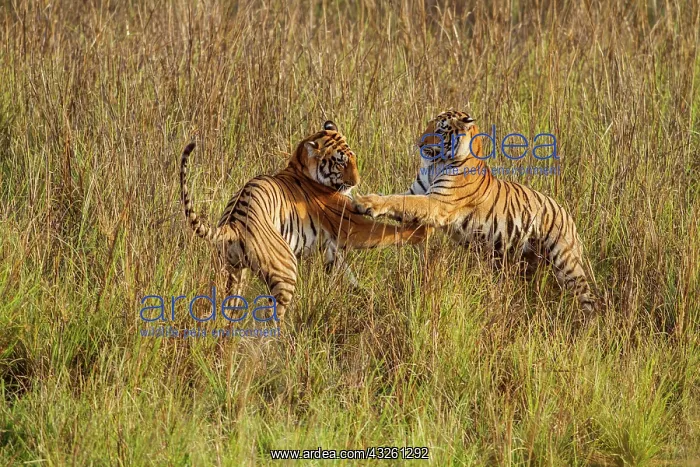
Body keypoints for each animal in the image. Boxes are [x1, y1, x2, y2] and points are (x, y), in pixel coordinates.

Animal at [180, 121, 428, 320]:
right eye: (341, 163)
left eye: (354, 158)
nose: (356, 182)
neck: (300, 164)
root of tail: (233, 224)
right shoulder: (351, 224)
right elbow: (386, 230)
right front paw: (421, 231)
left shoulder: (331, 247)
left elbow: (345, 273)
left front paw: (361, 294)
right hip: (285, 270)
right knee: (270, 319)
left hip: (232, 273)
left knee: (229, 308)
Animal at [353, 110, 596, 315]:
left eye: (440, 130)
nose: (419, 143)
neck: (436, 164)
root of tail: (566, 213)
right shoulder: (419, 192)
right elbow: (397, 199)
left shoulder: (437, 202)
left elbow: (400, 201)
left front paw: (365, 202)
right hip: (524, 263)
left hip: (567, 264)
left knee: (588, 299)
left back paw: (587, 325)